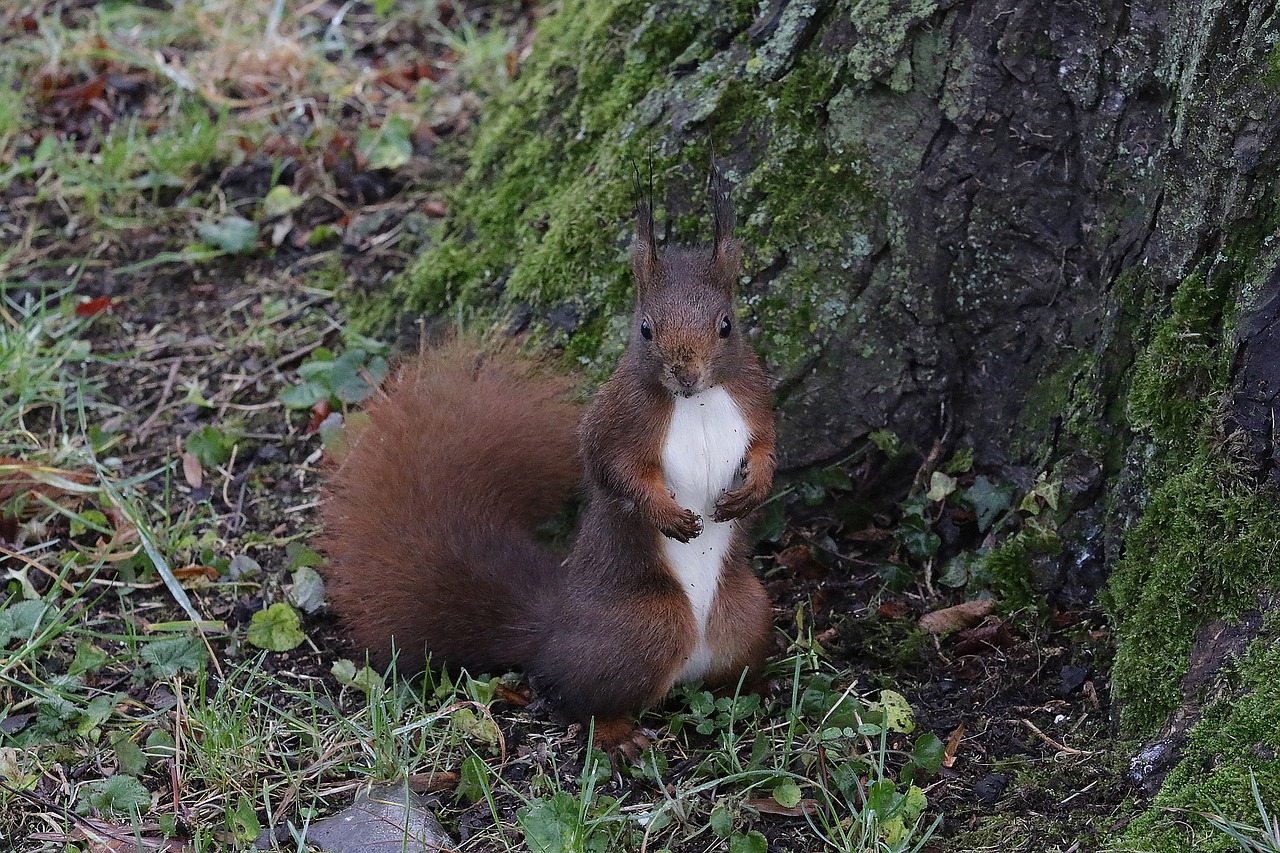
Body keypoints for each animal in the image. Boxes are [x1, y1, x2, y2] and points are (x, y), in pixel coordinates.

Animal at [325, 171, 773, 753]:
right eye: (646, 328)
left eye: (726, 325)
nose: (686, 372)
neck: (696, 402)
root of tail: (552, 630)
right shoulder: (617, 422)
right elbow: (616, 471)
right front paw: (669, 516)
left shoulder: (754, 396)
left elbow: (767, 444)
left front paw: (756, 486)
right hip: (645, 630)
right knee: (581, 700)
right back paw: (618, 734)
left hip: (749, 613)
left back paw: (755, 692)